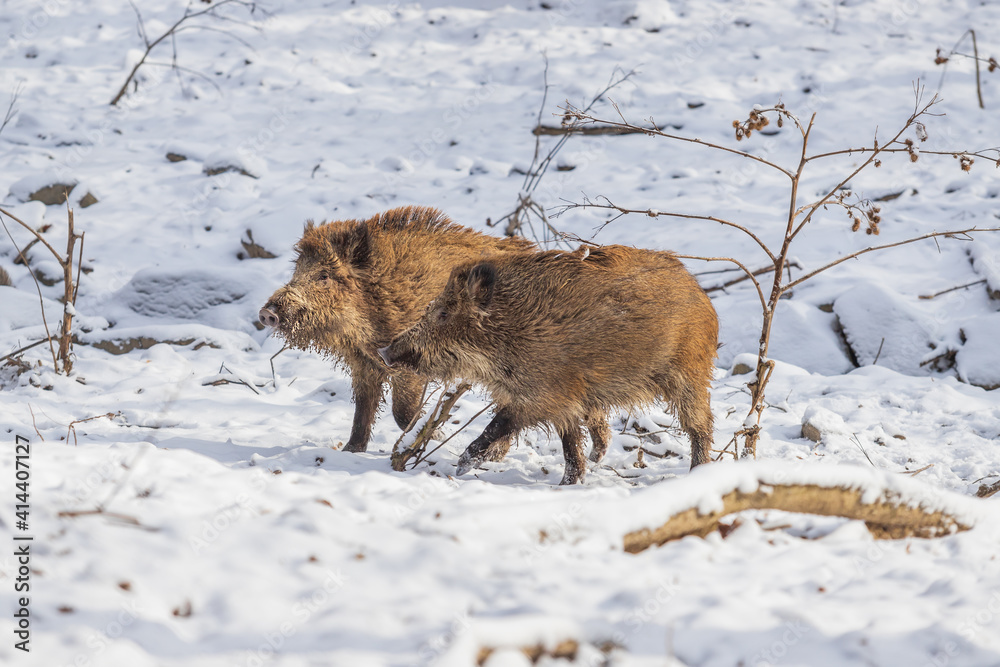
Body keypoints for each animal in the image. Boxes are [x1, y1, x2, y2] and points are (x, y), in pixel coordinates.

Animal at [259, 206, 534, 453]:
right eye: (297, 270)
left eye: (324, 275)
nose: (267, 313)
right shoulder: (364, 365)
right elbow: (362, 410)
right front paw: (350, 451)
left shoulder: (409, 360)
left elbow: (402, 413)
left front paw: (436, 436)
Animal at [378, 245, 718, 485]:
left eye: (444, 314)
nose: (384, 352)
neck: (509, 330)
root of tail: (700, 293)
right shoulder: (562, 402)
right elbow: (570, 444)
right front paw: (569, 484)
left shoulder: (545, 394)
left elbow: (499, 424)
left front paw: (462, 466)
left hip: (688, 372)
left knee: (700, 425)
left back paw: (698, 473)